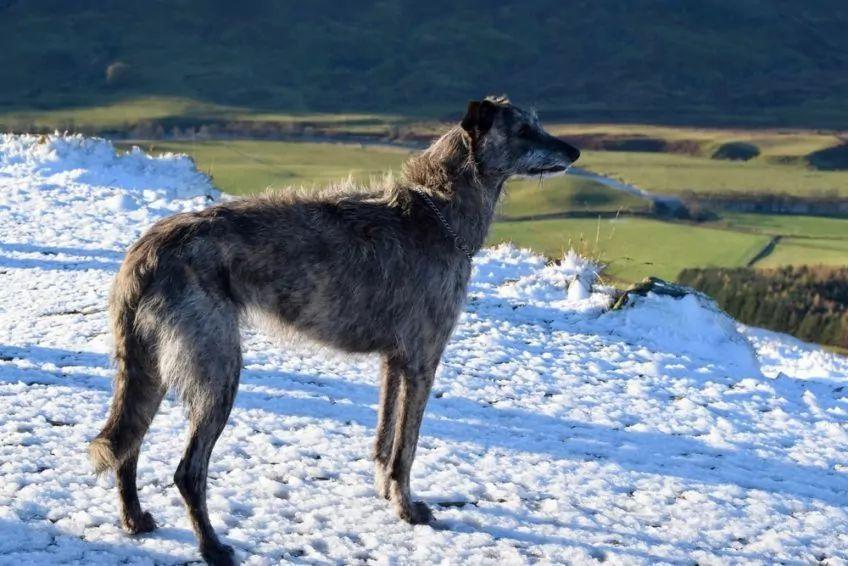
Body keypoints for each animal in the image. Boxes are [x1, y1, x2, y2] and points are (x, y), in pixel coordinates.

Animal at [91, 96, 584, 564]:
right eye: (523, 129)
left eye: (537, 123)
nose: (575, 151)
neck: (436, 211)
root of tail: (145, 251)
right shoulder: (422, 361)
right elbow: (406, 449)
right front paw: (408, 509)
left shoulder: (394, 362)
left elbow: (385, 440)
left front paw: (386, 494)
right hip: (217, 370)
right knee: (187, 471)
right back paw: (212, 547)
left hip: (150, 366)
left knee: (128, 445)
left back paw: (135, 519)